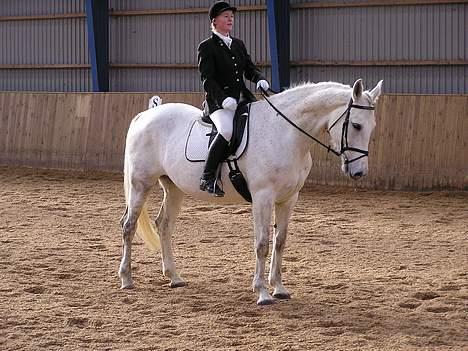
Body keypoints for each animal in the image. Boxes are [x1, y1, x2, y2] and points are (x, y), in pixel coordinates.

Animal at [119, 79, 382, 306]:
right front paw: (263, 292)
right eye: (356, 125)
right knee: (129, 226)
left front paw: (279, 288)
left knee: (163, 225)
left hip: (174, 188)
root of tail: (146, 115)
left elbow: (280, 241)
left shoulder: (288, 199)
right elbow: (262, 243)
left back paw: (174, 277)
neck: (284, 133)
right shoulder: (262, 197)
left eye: (372, 128)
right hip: (140, 184)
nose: (359, 172)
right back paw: (127, 279)